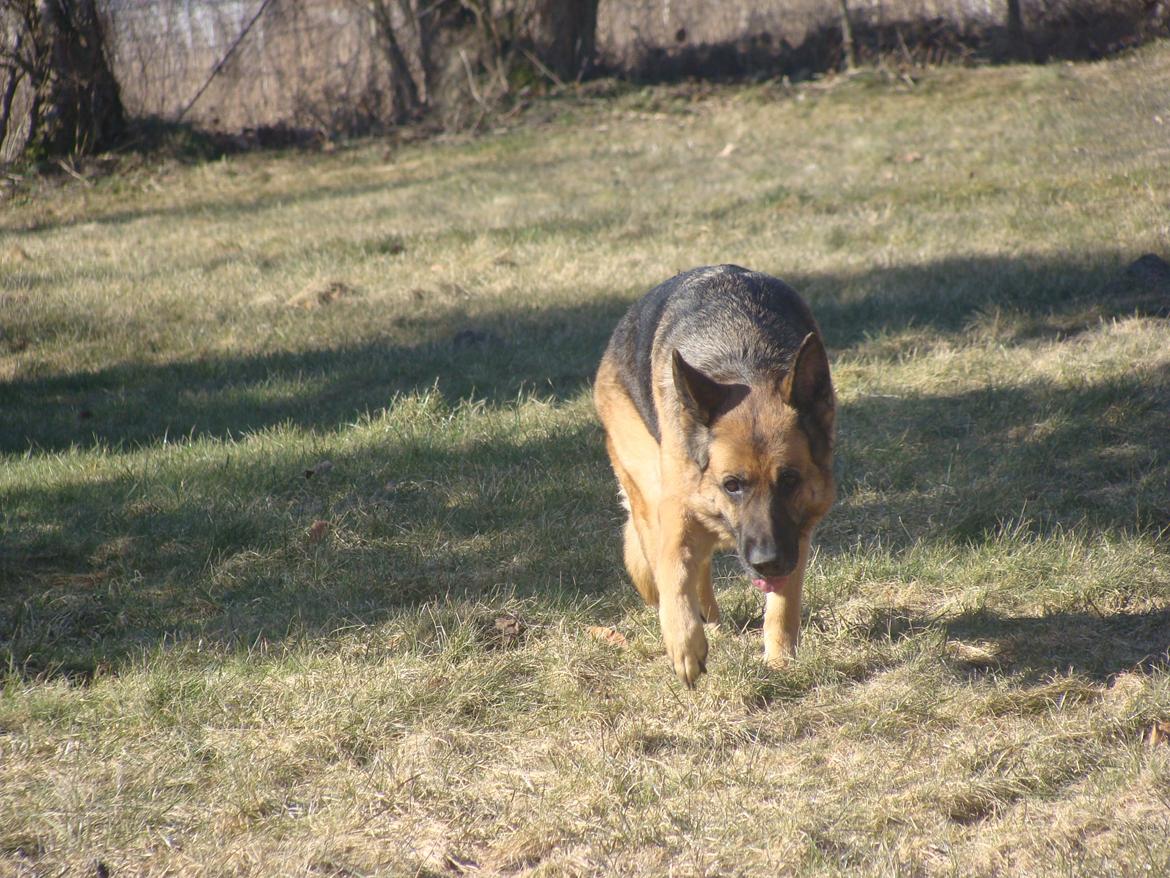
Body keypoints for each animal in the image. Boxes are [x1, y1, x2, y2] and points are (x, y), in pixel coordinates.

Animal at [594, 264, 833, 693]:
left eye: (790, 480)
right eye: (731, 484)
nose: (767, 561)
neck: (745, 362)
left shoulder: (797, 533)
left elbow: (785, 601)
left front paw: (780, 662)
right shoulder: (677, 510)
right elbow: (674, 573)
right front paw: (685, 644)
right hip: (651, 492)